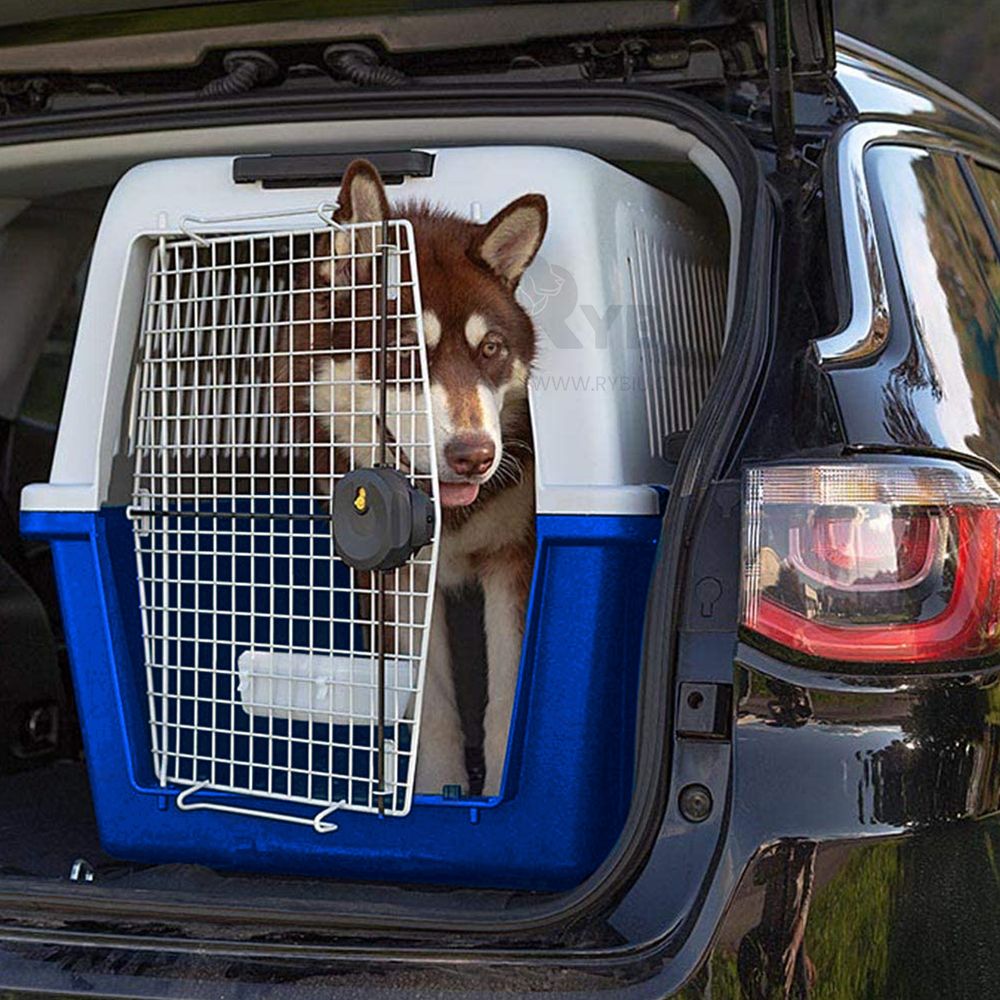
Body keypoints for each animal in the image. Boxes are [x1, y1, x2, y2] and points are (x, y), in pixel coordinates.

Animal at [280, 162, 548, 796]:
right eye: (405, 353)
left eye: (491, 349)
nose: (474, 455)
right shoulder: (395, 580)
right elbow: (427, 706)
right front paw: (436, 791)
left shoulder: (513, 558)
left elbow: (506, 700)